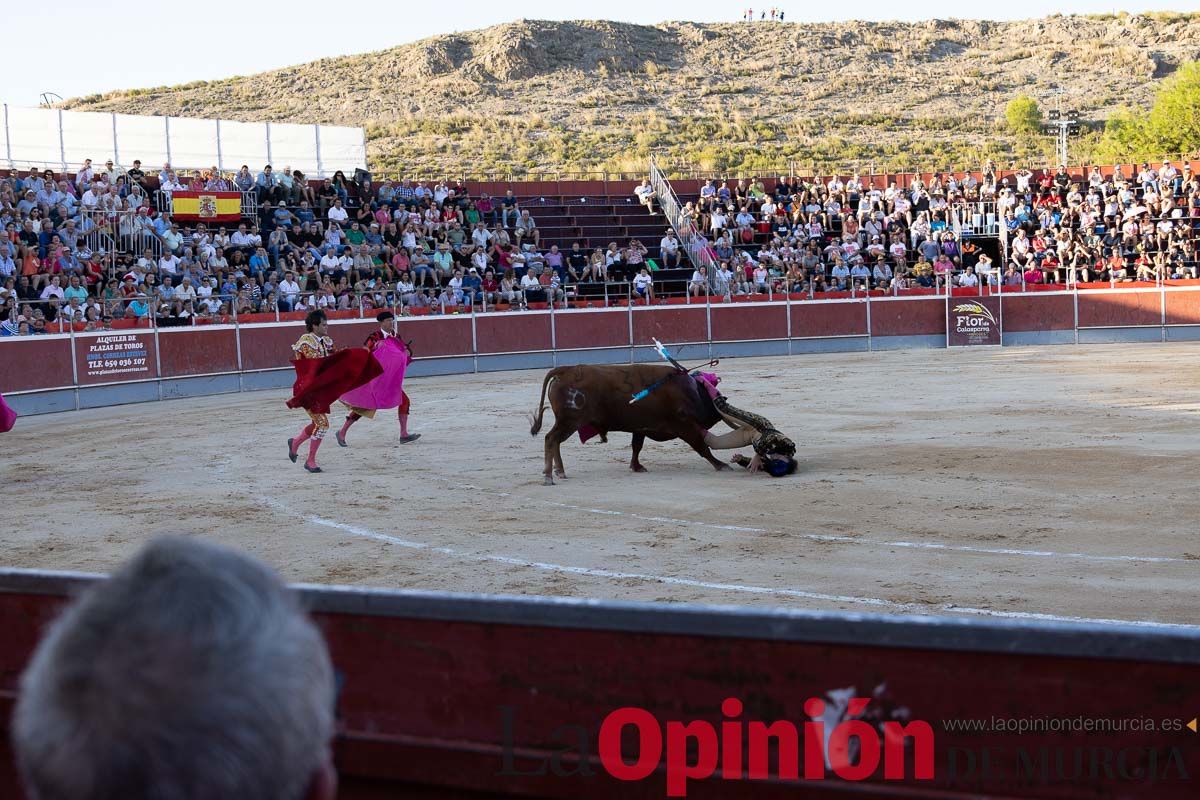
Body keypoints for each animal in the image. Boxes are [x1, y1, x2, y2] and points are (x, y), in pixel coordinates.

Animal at [530, 364, 724, 489]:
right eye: (714, 398)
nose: (719, 413)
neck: (691, 392)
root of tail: (567, 370)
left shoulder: (640, 428)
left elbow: (636, 446)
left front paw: (636, 467)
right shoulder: (684, 426)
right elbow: (702, 447)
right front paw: (721, 465)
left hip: (566, 422)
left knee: (555, 441)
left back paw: (560, 471)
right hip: (569, 421)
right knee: (551, 439)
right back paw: (549, 476)